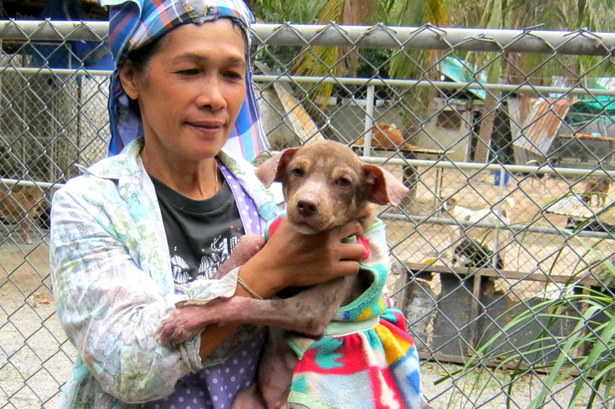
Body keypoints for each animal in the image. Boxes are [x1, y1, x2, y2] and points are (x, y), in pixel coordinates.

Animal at [156, 140, 422, 408]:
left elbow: (243, 304)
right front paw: (214, 283)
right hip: (245, 398)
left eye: (344, 182)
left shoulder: (311, 310)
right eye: (297, 171)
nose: (306, 205)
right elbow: (248, 245)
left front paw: (187, 320)